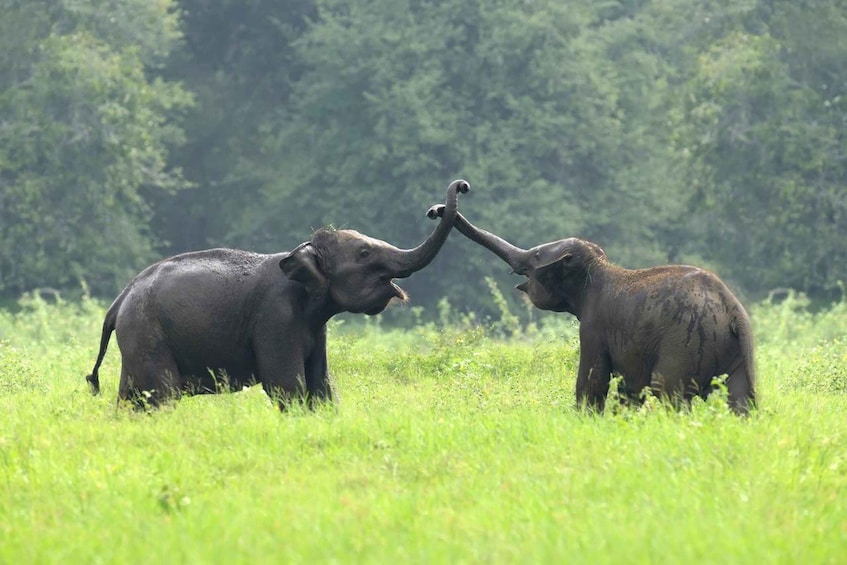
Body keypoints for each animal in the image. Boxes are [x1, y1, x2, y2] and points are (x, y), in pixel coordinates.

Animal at [84, 179, 469, 410]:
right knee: (159, 395)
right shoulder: (276, 318)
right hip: (148, 333)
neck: (299, 252)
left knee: (132, 397)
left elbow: (321, 384)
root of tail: (119, 301)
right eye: (364, 253)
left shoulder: (315, 326)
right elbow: (287, 386)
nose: (459, 188)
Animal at [428, 205, 756, 415]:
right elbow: (628, 389)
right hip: (737, 352)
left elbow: (593, 380)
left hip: (683, 345)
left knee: (668, 394)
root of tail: (732, 310)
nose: (436, 209)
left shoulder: (594, 326)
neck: (599, 267)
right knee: (742, 401)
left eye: (535, 255)